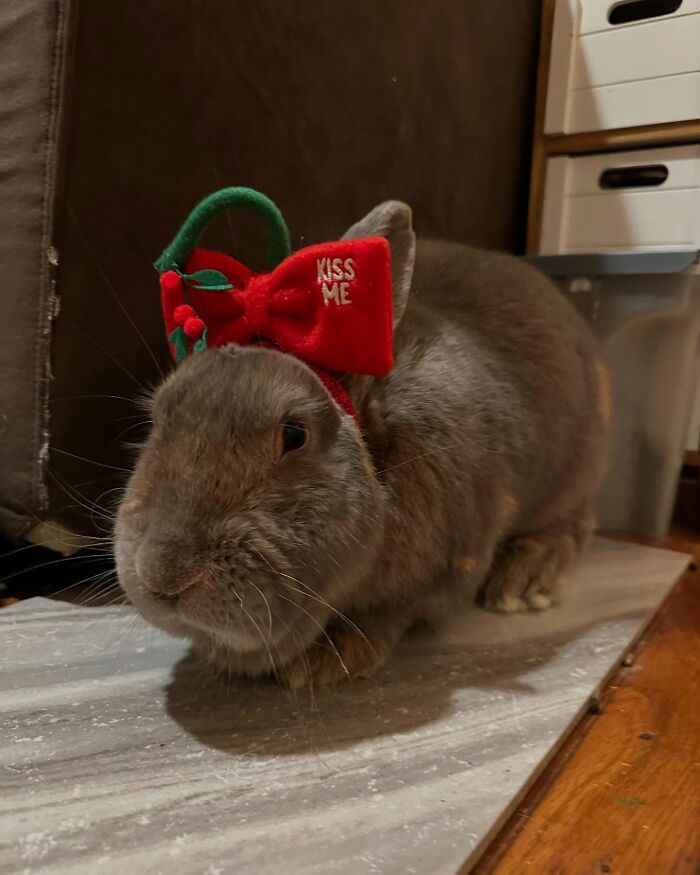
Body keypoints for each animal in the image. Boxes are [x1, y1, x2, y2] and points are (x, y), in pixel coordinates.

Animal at [114, 201, 608, 688]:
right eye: (159, 418)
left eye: (294, 435)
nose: (163, 574)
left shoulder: (440, 573)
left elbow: (390, 613)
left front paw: (323, 665)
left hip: (572, 476)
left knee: (576, 525)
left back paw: (522, 583)